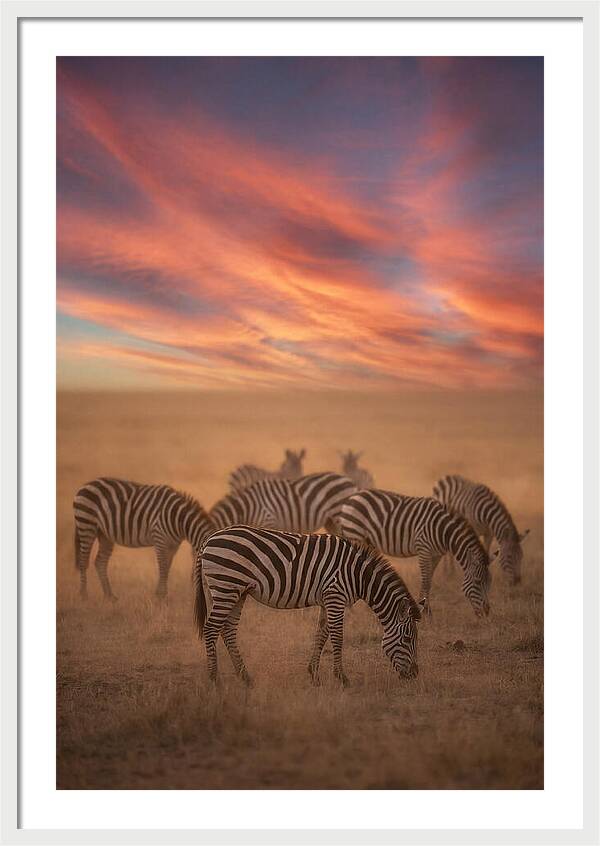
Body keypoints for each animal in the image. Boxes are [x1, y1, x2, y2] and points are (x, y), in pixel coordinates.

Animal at [73, 477, 215, 602]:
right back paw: (84, 595)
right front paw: (161, 597)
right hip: (86, 524)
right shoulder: (159, 538)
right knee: (83, 560)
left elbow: (167, 567)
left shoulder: (173, 545)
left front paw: (161, 595)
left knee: (100, 562)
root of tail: (86, 485)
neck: (179, 519)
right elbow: (163, 566)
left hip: (104, 534)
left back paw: (110, 596)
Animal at [194, 524, 423, 687]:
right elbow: (337, 636)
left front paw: (314, 675)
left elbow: (321, 634)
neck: (358, 576)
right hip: (226, 586)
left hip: (237, 592)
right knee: (211, 628)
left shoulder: (327, 599)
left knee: (228, 630)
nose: (414, 675)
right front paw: (342, 678)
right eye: (407, 639)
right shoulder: (335, 596)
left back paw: (246, 677)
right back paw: (215, 679)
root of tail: (209, 539)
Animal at [332, 488, 491, 618]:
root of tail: (352, 497)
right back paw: (351, 610)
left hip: (366, 540)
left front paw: (426, 610)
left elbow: (429, 581)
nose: (486, 612)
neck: (444, 530)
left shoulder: (436, 555)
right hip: (355, 532)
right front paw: (426, 612)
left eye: (489, 583)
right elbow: (425, 581)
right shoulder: (424, 549)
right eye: (478, 582)